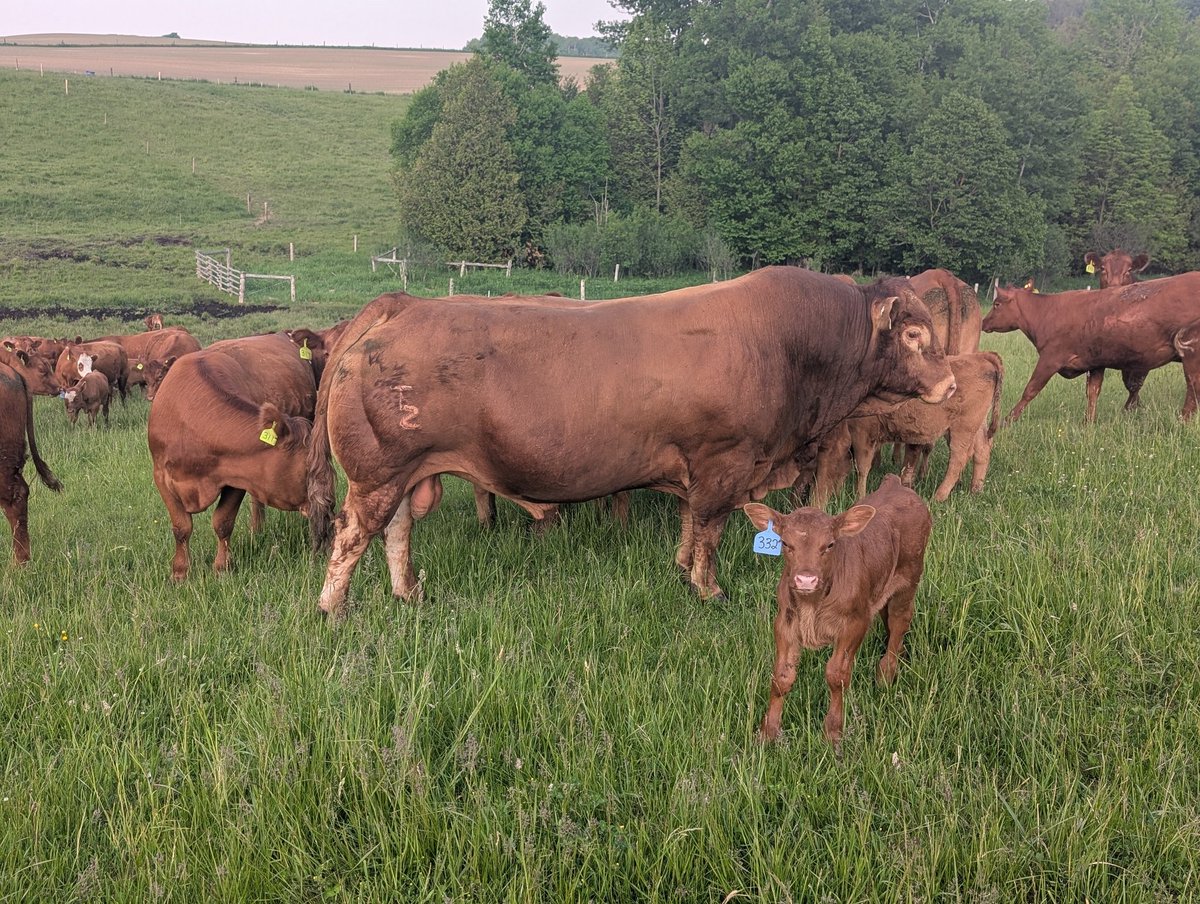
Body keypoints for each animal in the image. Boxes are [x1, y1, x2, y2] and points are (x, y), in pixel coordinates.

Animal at [147, 327, 342, 581]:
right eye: (310, 470)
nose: (330, 505)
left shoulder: (238, 476)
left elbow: (223, 522)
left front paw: (222, 569)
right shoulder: (161, 476)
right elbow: (181, 527)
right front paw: (180, 573)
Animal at [307, 266, 956, 618]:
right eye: (915, 335)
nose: (950, 382)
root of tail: (404, 304)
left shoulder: (699, 467)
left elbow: (691, 522)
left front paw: (681, 567)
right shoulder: (726, 462)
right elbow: (711, 528)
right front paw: (708, 588)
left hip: (406, 474)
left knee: (396, 531)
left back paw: (407, 593)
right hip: (377, 472)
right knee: (352, 535)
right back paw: (333, 609)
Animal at [743, 475, 932, 747]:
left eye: (830, 545)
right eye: (785, 543)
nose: (805, 579)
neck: (812, 605)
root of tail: (896, 484)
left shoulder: (855, 623)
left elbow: (837, 676)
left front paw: (833, 735)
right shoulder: (785, 623)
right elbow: (781, 678)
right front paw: (767, 733)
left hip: (909, 577)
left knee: (900, 619)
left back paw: (886, 674)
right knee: (888, 617)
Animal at [806, 352, 1004, 506]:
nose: (811, 502)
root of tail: (981, 356)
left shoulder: (863, 435)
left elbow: (861, 467)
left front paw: (859, 497)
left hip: (962, 428)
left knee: (959, 458)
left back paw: (939, 496)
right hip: (975, 427)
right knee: (982, 451)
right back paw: (975, 489)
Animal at [983, 274, 1200, 422]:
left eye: (996, 304)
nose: (983, 323)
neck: (1046, 312)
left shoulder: (1050, 358)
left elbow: (1031, 389)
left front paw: (1007, 420)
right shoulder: (1096, 363)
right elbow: (1093, 392)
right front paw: (1088, 422)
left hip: (1191, 353)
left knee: (1193, 387)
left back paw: (1182, 420)